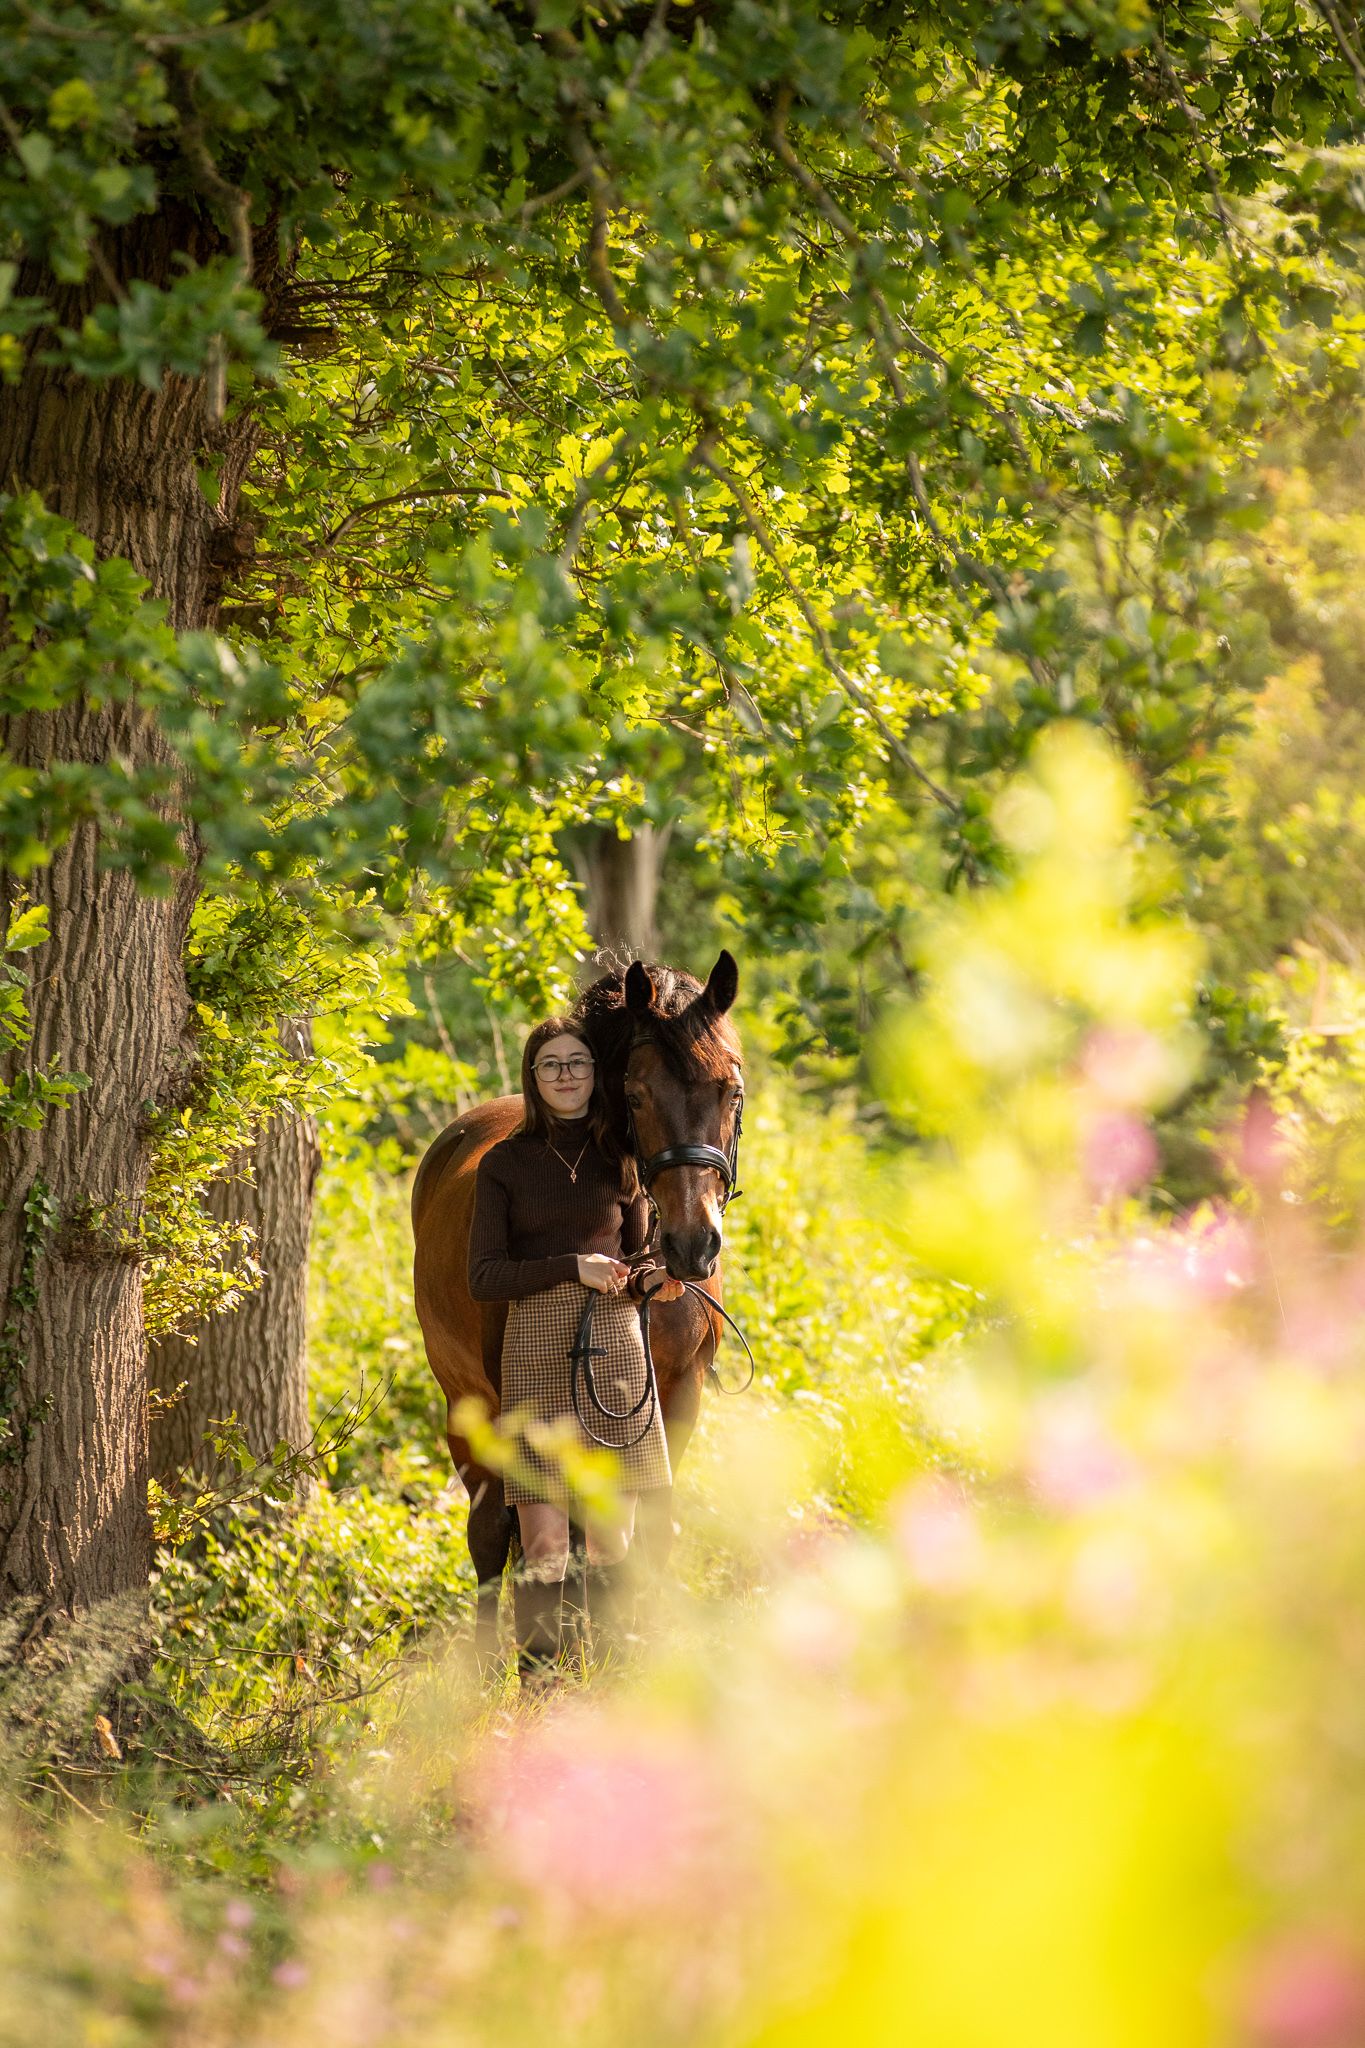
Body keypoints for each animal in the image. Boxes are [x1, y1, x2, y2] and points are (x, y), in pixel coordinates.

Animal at [411, 950, 744, 1665]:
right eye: (637, 1096)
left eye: (731, 1090)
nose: (693, 1246)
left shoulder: (675, 1397)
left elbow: (650, 1529)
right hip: (469, 1406)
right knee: (491, 1533)